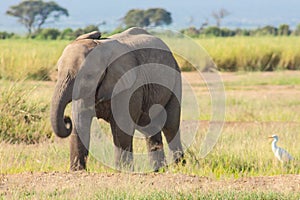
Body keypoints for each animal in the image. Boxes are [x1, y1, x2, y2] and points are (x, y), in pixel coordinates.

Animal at [50, 27, 184, 172]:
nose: (66, 119)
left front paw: (123, 171)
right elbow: (80, 124)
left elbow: (121, 128)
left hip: (176, 80)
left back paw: (178, 167)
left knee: (171, 127)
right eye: (58, 71)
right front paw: (77, 171)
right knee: (150, 129)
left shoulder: (127, 86)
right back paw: (158, 169)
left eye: (88, 75)